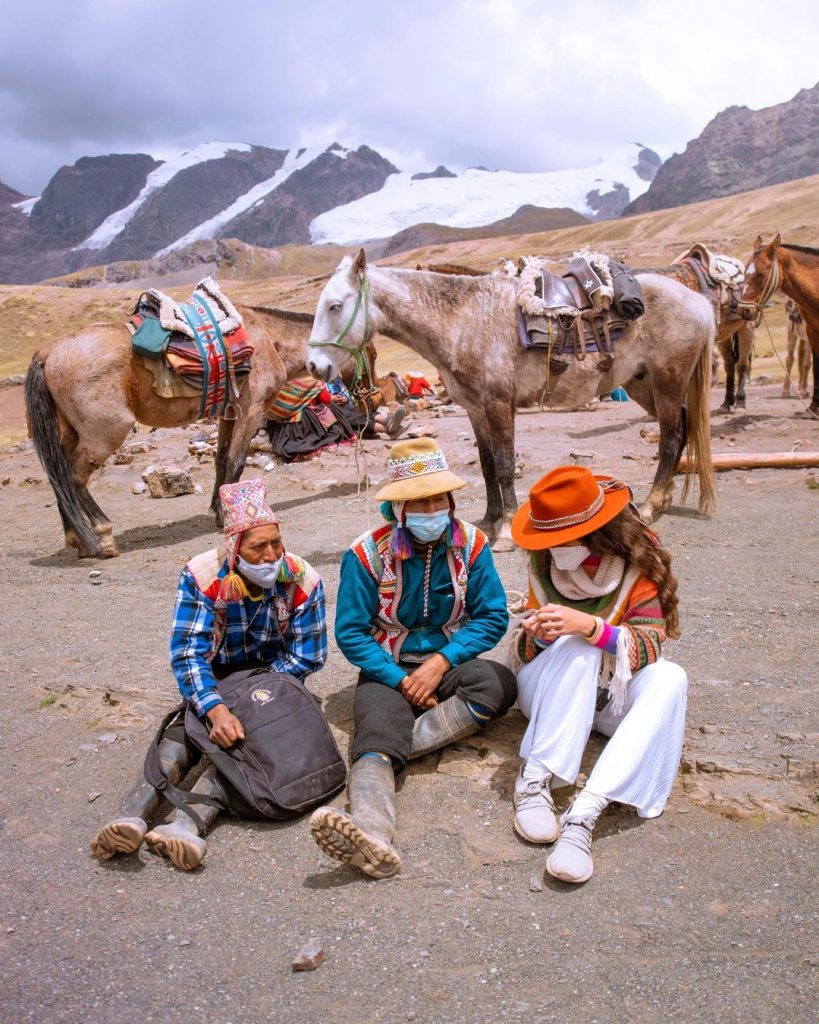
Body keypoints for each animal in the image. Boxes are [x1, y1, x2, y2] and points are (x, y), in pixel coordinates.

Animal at [25, 305, 313, 561]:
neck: (269, 339)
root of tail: (46, 354)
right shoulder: (251, 410)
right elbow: (236, 462)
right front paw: (229, 518)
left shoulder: (228, 413)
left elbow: (221, 461)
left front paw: (218, 512)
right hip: (104, 434)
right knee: (74, 478)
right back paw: (103, 537)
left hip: (70, 434)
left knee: (58, 477)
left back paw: (78, 541)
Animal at [741, 235, 818, 415]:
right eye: (745, 271)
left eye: (761, 273)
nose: (745, 310)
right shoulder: (811, 331)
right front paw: (813, 408)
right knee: (790, 359)